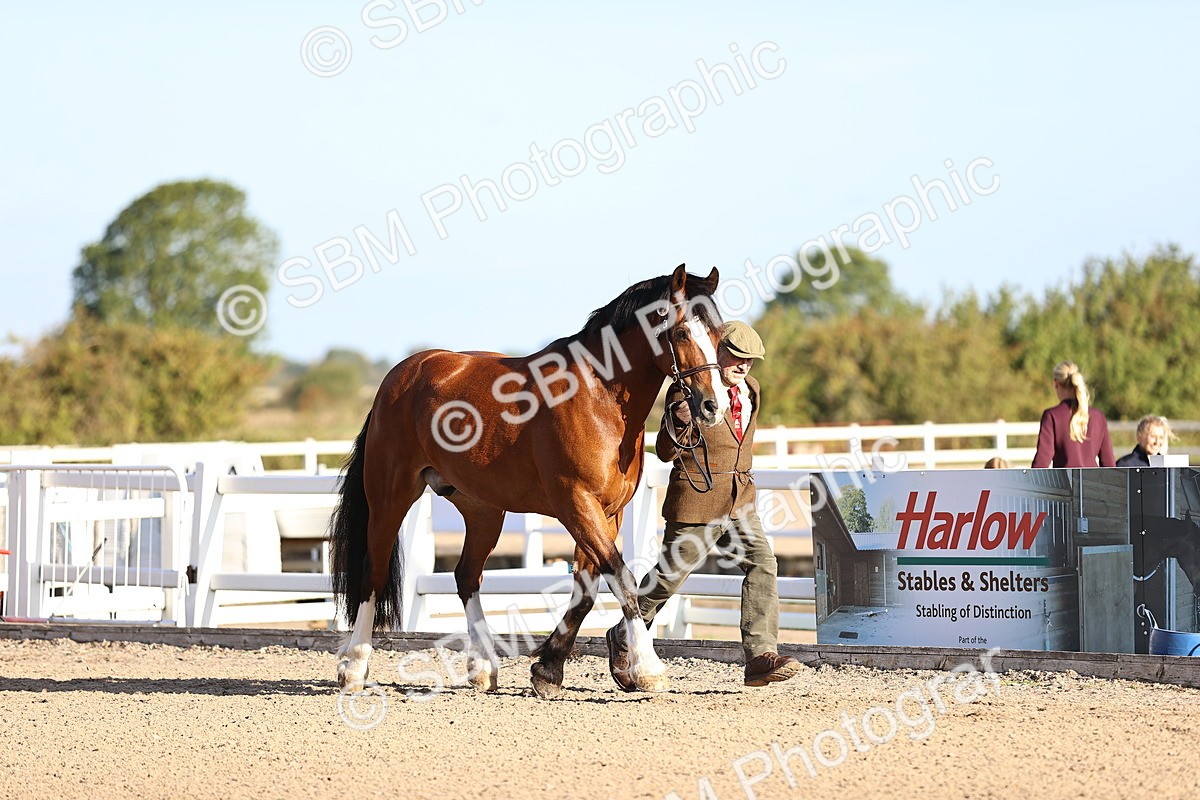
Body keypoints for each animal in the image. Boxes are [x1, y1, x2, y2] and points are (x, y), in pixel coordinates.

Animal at [329, 264, 729, 698]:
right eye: (681, 332)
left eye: (719, 334)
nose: (714, 406)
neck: (598, 397)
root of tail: (401, 376)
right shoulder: (576, 503)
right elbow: (621, 578)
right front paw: (647, 668)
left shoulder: (609, 513)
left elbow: (587, 590)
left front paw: (548, 669)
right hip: (391, 496)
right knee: (374, 574)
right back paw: (355, 667)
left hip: (483, 509)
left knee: (466, 576)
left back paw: (483, 667)